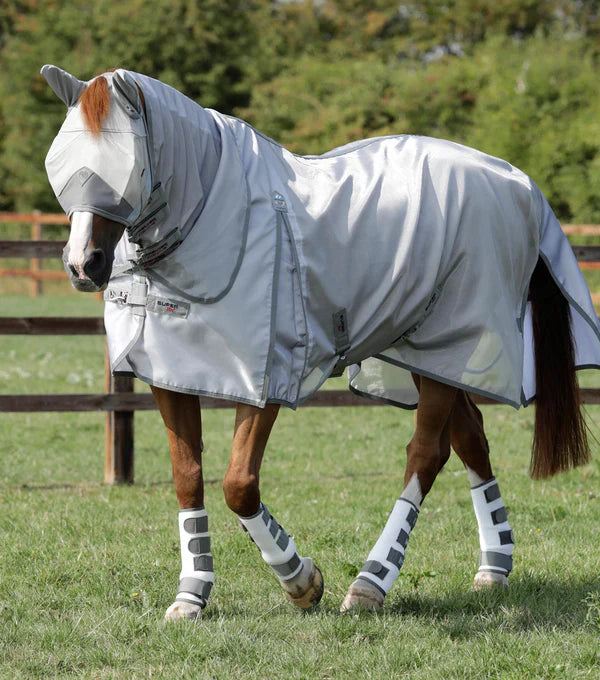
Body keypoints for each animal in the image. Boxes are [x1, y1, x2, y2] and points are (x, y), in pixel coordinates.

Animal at [41, 64, 600, 621]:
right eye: (62, 159)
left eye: (127, 163)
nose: (83, 264)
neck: (215, 217)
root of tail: (515, 180)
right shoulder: (171, 374)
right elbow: (188, 477)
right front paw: (191, 594)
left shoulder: (268, 376)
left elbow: (238, 485)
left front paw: (302, 581)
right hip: (429, 354)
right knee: (470, 440)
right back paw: (493, 567)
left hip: (453, 340)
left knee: (426, 453)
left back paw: (371, 583)